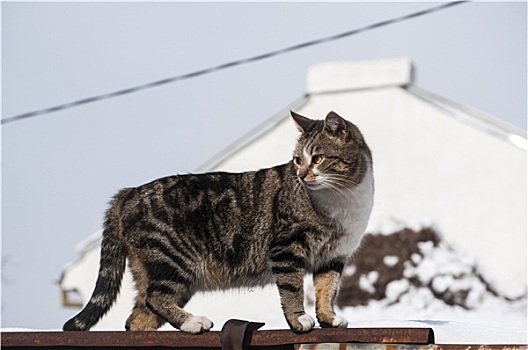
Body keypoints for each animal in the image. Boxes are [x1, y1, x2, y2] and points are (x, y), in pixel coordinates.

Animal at [63, 110, 376, 334]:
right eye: (298, 160)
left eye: (318, 158)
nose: (301, 175)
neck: (344, 200)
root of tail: (128, 193)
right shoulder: (287, 248)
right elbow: (292, 288)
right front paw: (299, 320)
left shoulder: (334, 256)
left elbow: (327, 289)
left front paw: (329, 318)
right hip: (172, 260)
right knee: (155, 298)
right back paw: (193, 323)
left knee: (137, 318)